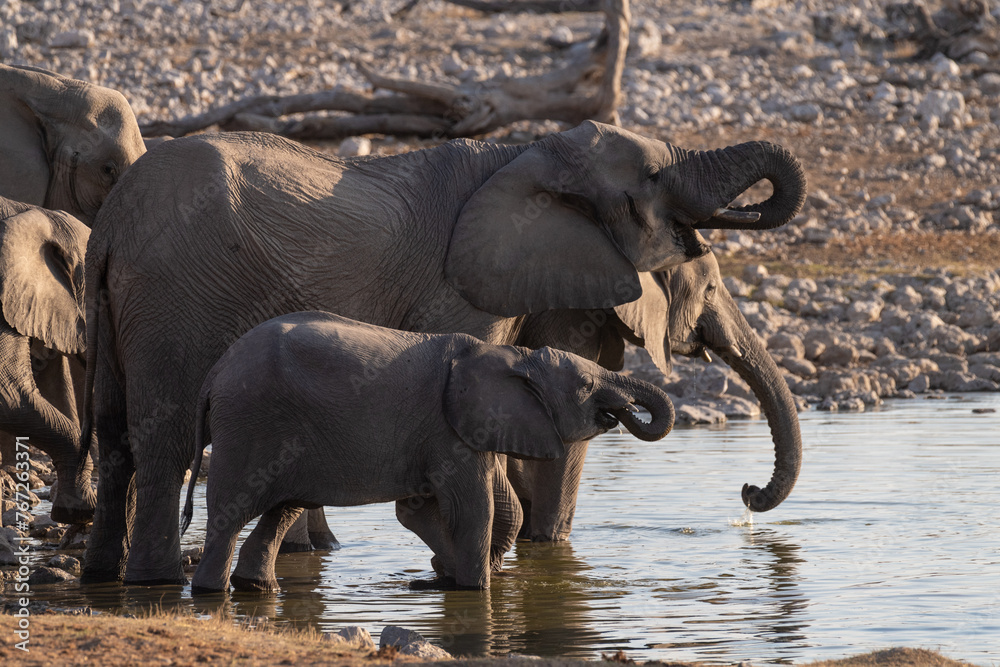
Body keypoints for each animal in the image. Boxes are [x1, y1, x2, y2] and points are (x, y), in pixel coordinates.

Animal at [181, 311, 674, 592]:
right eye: (587, 385)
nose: (625, 411)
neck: (516, 356)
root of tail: (213, 374)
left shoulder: (457, 430)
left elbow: (421, 509)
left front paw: (445, 573)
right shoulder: (447, 429)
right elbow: (474, 508)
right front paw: (475, 588)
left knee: (283, 507)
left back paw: (257, 589)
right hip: (249, 425)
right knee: (232, 512)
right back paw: (211, 592)